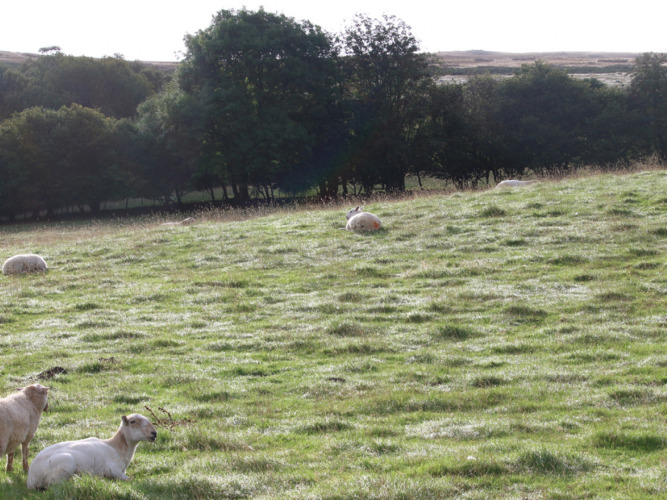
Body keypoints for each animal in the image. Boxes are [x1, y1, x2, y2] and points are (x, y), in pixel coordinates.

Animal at [27, 413, 157, 490]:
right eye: (133, 421)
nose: (154, 433)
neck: (117, 448)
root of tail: (31, 477)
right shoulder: (114, 470)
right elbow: (129, 478)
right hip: (65, 463)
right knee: (54, 484)